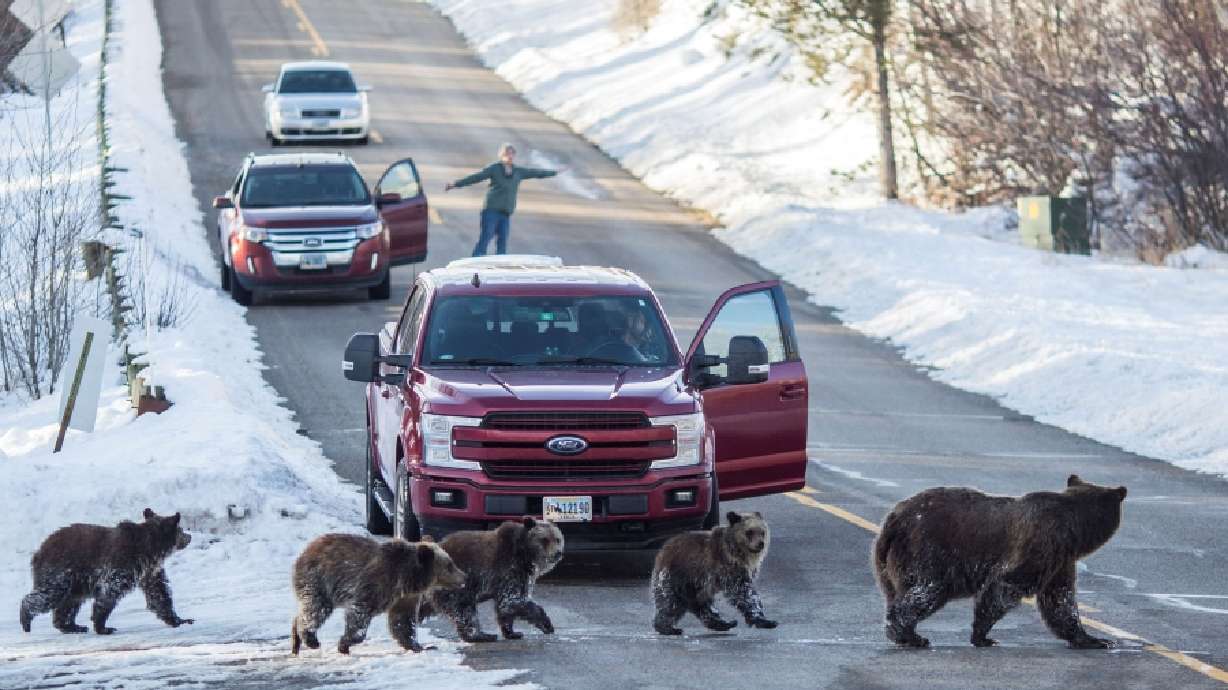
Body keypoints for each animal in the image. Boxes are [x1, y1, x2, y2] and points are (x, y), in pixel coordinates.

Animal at [19, 509, 193, 635]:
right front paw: (103, 627)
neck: (150, 549)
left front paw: (180, 620)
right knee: (48, 595)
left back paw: (72, 626)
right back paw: (26, 619)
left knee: (70, 602)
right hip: (60, 571)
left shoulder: (149, 572)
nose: (189, 536)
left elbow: (160, 594)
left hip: (76, 582)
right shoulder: (123, 564)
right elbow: (109, 591)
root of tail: (38, 551)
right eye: (180, 529)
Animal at [290, 533, 465, 655]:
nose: (464, 577)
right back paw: (311, 639)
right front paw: (344, 644)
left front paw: (418, 646)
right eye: (449, 565)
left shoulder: (405, 598)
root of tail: (306, 549)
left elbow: (403, 621)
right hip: (319, 580)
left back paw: (296, 641)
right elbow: (359, 615)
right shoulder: (374, 586)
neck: (407, 578)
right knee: (316, 610)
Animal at [406, 517, 564, 644]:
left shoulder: (521, 576)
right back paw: (482, 635)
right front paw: (547, 624)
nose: (558, 553)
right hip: (457, 583)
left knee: (421, 609)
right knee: (465, 610)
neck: (525, 556)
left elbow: (506, 608)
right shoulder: (509, 569)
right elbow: (512, 601)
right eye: (544, 539)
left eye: (557, 539)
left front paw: (512, 632)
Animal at [873, 474, 1127, 649]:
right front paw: (983, 636)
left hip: (887, 563)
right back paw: (909, 634)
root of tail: (894, 519)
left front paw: (1093, 639)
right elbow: (1006, 585)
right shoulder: (1042, 544)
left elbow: (1060, 601)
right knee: (927, 590)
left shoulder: (1060, 561)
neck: (1075, 531)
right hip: (928, 550)